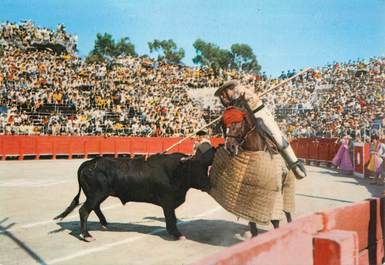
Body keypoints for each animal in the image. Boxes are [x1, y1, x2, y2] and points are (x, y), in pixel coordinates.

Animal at [54, 148, 216, 241]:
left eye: (205, 168)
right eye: (195, 168)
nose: (209, 185)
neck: (176, 171)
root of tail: (88, 163)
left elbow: (172, 219)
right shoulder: (168, 202)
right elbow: (171, 219)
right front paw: (177, 234)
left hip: (99, 194)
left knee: (94, 207)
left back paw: (105, 224)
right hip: (96, 194)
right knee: (84, 210)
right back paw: (87, 235)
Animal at [222, 104, 292, 235]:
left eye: (237, 123)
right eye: (223, 126)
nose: (229, 147)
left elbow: (275, 220)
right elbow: (252, 223)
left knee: (287, 211)